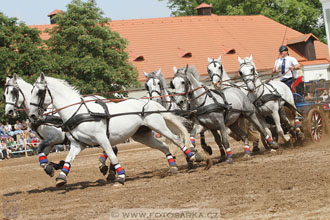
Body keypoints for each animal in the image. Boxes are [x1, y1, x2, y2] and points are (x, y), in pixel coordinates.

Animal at [29, 73, 204, 186]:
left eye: (39, 91)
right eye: (30, 91)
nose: (32, 116)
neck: (79, 112)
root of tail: (149, 102)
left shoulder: (102, 138)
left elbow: (112, 156)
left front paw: (120, 176)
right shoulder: (78, 144)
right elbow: (68, 159)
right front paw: (61, 177)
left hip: (158, 126)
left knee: (177, 139)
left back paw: (192, 156)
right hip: (142, 135)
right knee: (164, 146)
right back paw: (173, 166)